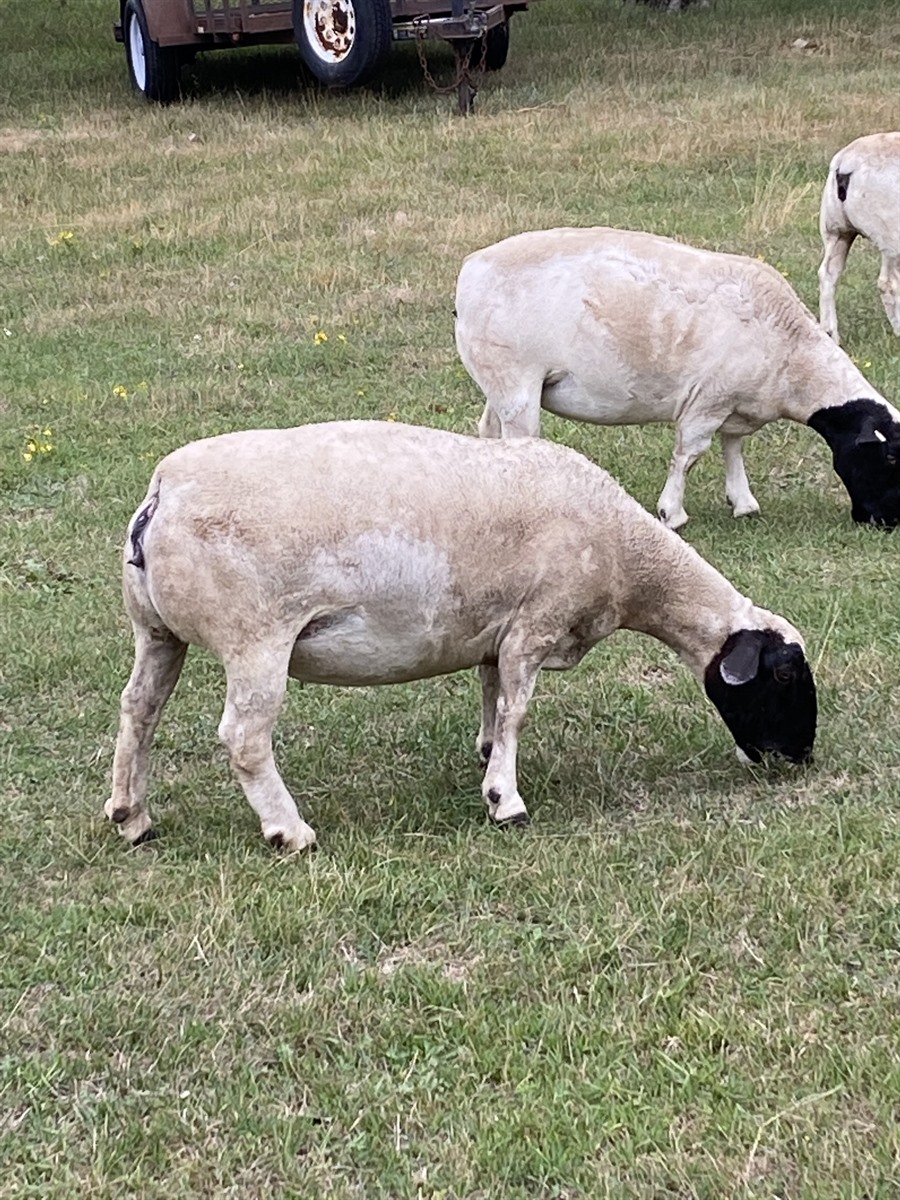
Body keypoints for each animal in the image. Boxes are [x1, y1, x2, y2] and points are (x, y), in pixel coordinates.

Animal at [106, 420, 816, 853]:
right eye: (783, 674)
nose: (800, 758)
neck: (625, 556)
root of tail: (162, 495)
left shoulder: (497, 625)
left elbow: (491, 690)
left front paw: (484, 752)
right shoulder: (536, 620)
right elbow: (517, 708)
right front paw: (506, 798)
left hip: (156, 629)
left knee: (139, 709)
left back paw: (131, 817)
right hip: (255, 636)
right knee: (245, 737)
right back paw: (289, 831)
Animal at [454, 226, 900, 530]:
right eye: (892, 457)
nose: (886, 521)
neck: (793, 358)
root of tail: (469, 272)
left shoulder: (735, 401)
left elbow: (733, 447)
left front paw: (743, 502)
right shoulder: (707, 400)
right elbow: (689, 454)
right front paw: (672, 513)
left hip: (499, 381)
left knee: (488, 432)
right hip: (517, 380)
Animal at [818, 132, 900, 346]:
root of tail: (846, 163)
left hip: (837, 229)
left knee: (827, 273)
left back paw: (830, 334)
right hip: (891, 233)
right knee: (888, 283)